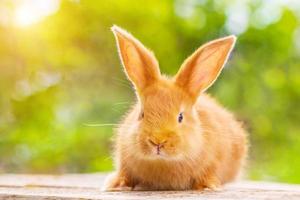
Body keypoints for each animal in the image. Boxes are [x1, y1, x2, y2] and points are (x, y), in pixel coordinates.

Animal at [103, 25, 248, 191]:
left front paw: (208, 185)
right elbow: (125, 173)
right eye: (141, 114)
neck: (163, 163)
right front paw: (116, 184)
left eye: (180, 117)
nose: (158, 141)